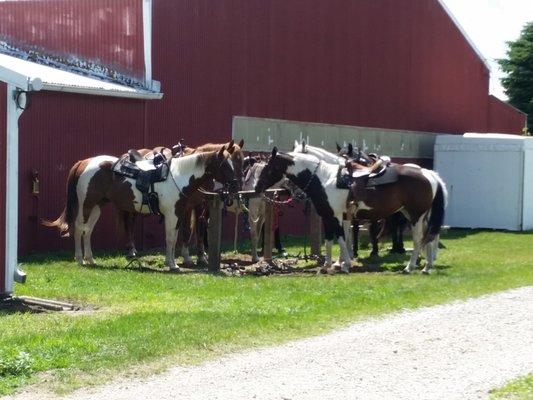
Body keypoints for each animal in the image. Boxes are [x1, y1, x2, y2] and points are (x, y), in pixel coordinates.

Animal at [44, 145, 237, 270]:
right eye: (226, 166)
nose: (235, 186)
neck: (178, 176)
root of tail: (84, 162)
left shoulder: (177, 214)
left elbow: (174, 238)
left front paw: (171, 262)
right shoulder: (172, 214)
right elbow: (170, 239)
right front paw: (172, 265)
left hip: (97, 206)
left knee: (88, 230)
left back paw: (90, 260)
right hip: (87, 204)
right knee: (79, 228)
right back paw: (80, 260)